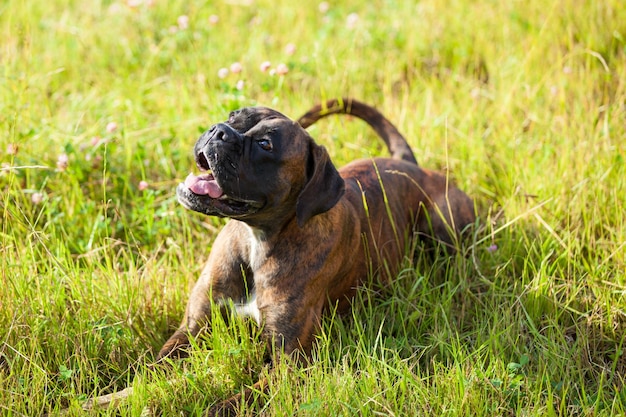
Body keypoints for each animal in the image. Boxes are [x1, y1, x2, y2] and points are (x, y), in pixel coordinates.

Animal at [157, 97, 472, 412]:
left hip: (443, 226)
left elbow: (232, 403)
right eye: (234, 115)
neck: (256, 240)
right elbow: (153, 367)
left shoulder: (289, 364)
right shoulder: (192, 328)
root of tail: (408, 164)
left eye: (265, 144)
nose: (219, 130)